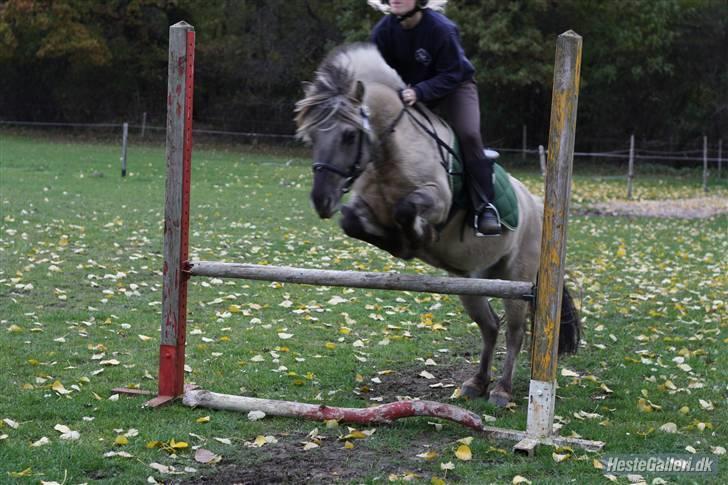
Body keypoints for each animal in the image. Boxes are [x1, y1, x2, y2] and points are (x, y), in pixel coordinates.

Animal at [292, 42, 576, 404]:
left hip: (518, 279)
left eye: (349, 135)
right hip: (471, 282)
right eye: (311, 136)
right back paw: (476, 383)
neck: (390, 153)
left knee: (514, 332)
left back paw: (501, 390)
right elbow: (353, 221)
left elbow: (407, 209)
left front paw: (417, 237)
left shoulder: (438, 200)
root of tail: (539, 207)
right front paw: (401, 243)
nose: (321, 200)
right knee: (490, 326)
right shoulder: (365, 207)